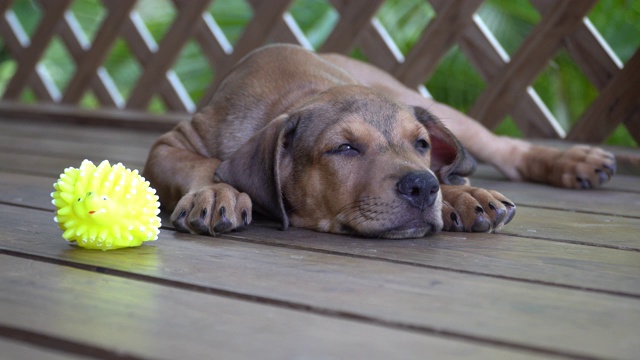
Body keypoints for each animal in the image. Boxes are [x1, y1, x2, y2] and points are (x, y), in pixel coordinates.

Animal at [144, 43, 616, 238]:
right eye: (345, 148)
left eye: (421, 144)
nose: (423, 187)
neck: (297, 96)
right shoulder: (170, 144)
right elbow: (204, 164)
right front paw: (215, 193)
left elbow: (454, 177)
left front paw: (461, 196)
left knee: (503, 147)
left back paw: (574, 162)